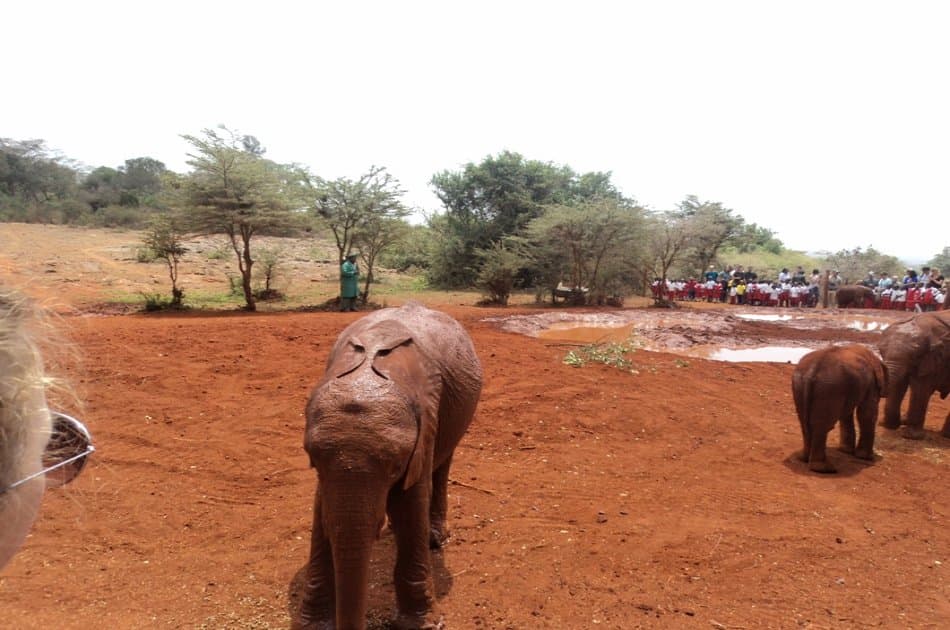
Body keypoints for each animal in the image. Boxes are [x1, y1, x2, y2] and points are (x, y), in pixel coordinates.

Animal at [294, 301, 482, 630]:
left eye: (395, 466)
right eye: (313, 461)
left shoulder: (427, 419)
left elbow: (411, 506)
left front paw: (421, 624)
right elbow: (322, 514)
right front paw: (314, 624)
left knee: (442, 465)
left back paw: (434, 539)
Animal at [791, 344, 887, 473]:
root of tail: (812, 369)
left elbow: (847, 414)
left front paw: (846, 451)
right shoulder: (872, 384)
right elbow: (866, 414)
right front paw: (866, 458)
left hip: (801, 385)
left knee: (805, 423)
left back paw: (804, 459)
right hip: (829, 389)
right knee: (822, 426)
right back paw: (825, 469)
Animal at [878, 309, 950, 439]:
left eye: (915, 356)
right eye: (881, 350)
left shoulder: (933, 358)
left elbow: (920, 388)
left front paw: (911, 436)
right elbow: (899, 385)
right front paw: (889, 426)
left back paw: (945, 435)